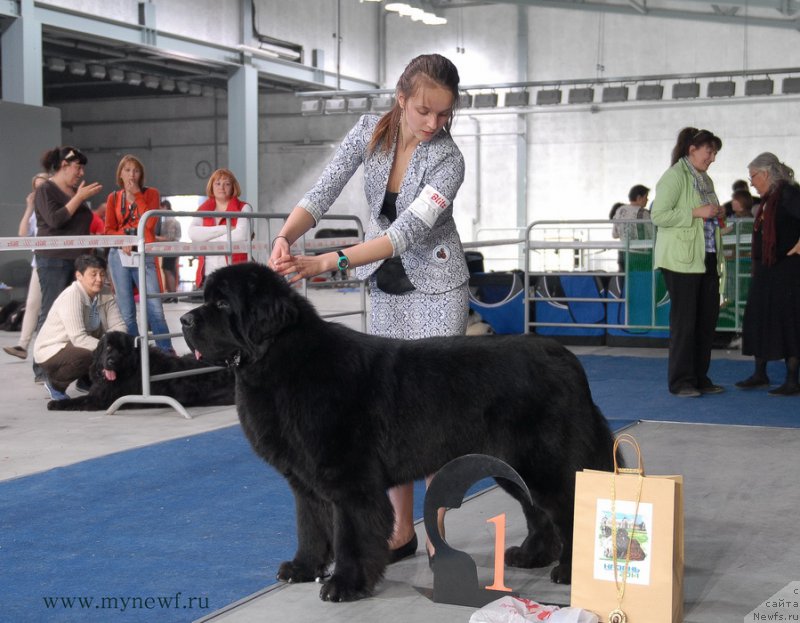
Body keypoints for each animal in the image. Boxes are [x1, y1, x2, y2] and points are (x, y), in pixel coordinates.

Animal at [46, 330, 234, 412]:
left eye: (122, 351)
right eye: (108, 347)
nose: (111, 361)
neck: (132, 367)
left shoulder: (100, 399)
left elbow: (78, 401)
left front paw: (56, 404)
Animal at [183, 264, 620, 604]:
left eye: (222, 305)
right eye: (206, 299)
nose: (185, 321)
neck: (279, 360)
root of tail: (563, 355)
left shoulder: (350, 481)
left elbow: (350, 535)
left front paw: (344, 584)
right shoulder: (305, 482)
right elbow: (310, 527)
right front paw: (302, 567)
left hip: (541, 462)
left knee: (569, 507)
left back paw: (568, 571)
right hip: (510, 464)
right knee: (536, 510)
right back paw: (530, 555)